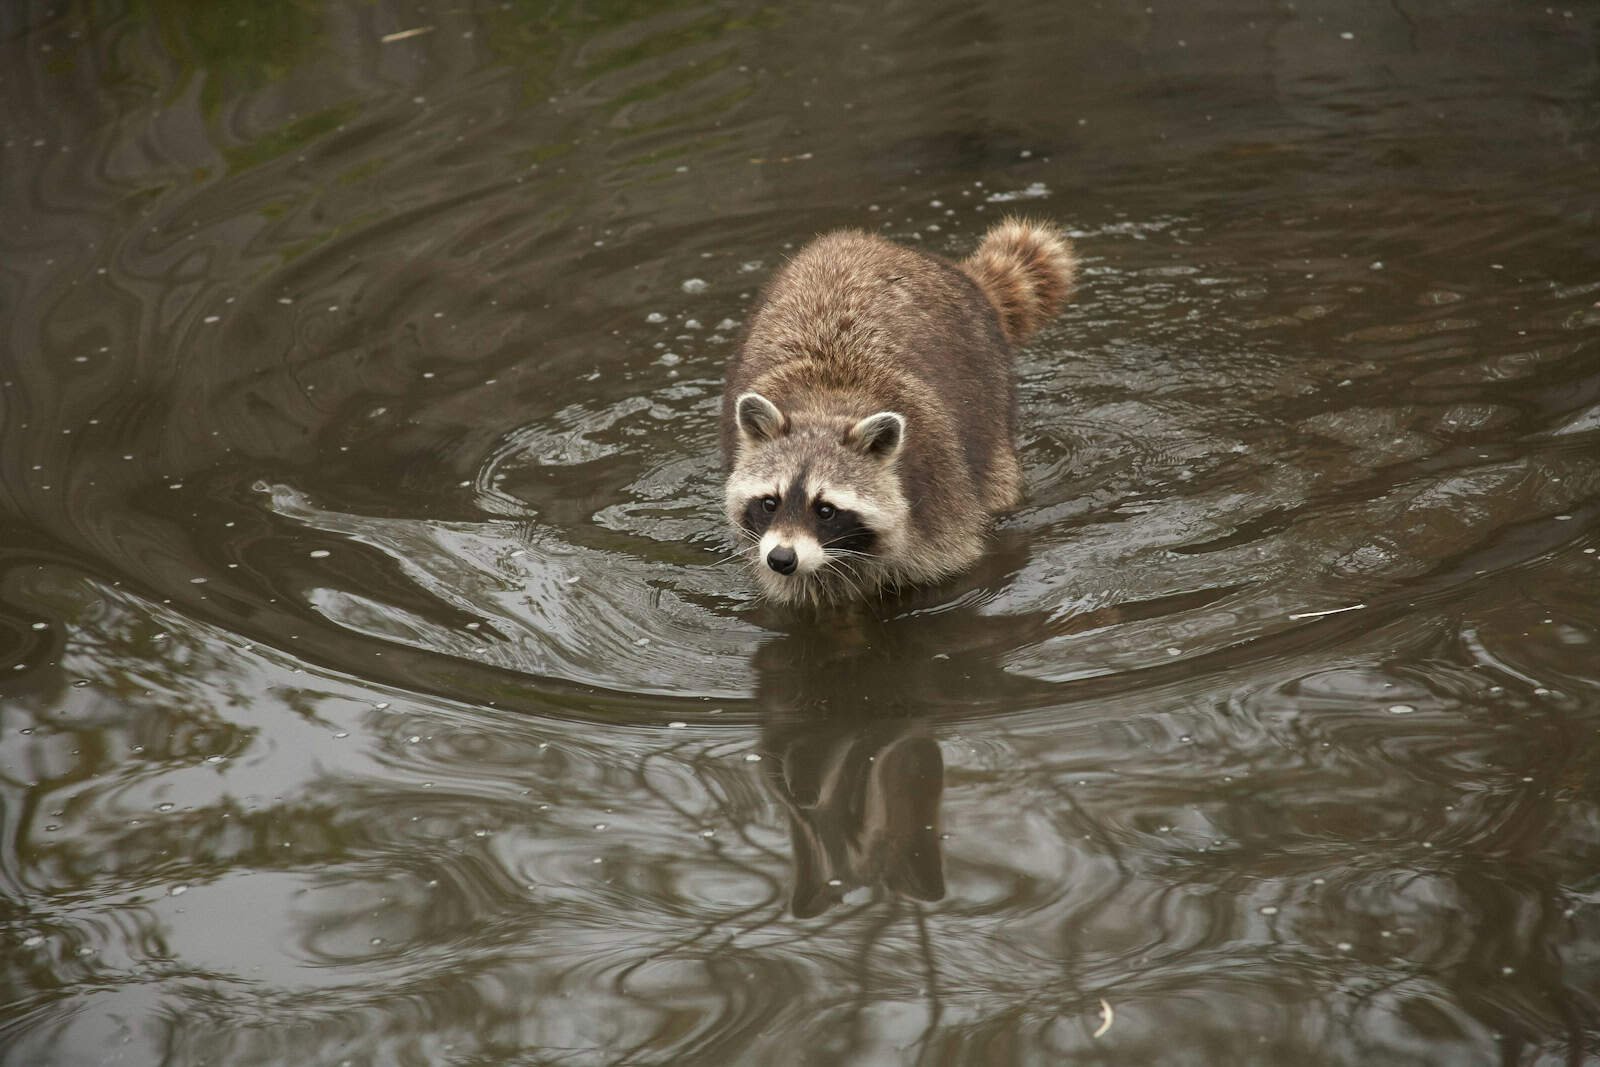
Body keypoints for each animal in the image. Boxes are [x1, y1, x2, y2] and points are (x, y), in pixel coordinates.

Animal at [721, 217, 1077, 606]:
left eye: (826, 509)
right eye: (770, 502)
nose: (782, 558)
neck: (826, 403)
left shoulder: (940, 498)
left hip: (991, 402)